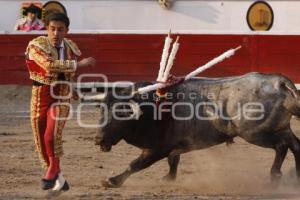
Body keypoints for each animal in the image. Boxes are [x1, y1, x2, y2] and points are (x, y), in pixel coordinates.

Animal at [91, 72, 300, 188]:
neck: (152, 106)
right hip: (280, 127)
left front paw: (112, 181)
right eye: (101, 111)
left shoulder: (157, 149)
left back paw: (275, 175)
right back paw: (295, 176)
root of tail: (278, 82)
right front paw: (169, 178)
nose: (99, 140)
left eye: (121, 113)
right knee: (295, 144)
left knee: (282, 146)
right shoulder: (172, 146)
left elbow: (135, 164)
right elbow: (173, 160)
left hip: (254, 133)